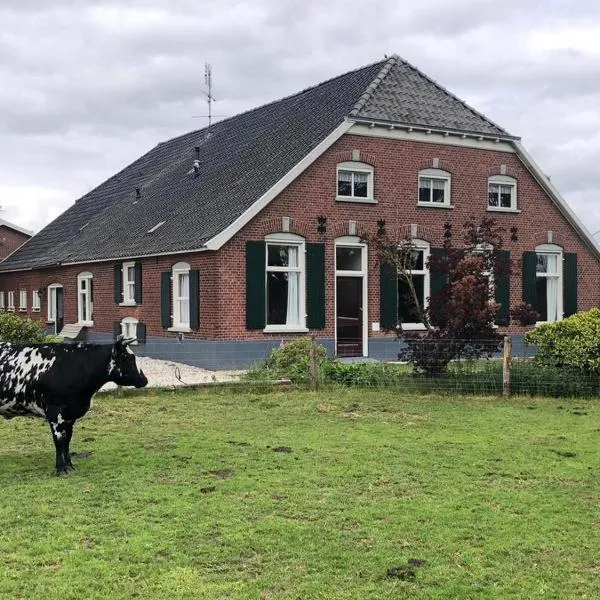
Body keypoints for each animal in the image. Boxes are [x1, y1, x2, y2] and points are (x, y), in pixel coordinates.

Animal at [0, 338, 148, 474]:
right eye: (127, 358)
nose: (144, 380)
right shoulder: (55, 411)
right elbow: (59, 440)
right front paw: (61, 469)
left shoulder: (70, 415)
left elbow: (67, 440)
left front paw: (69, 465)